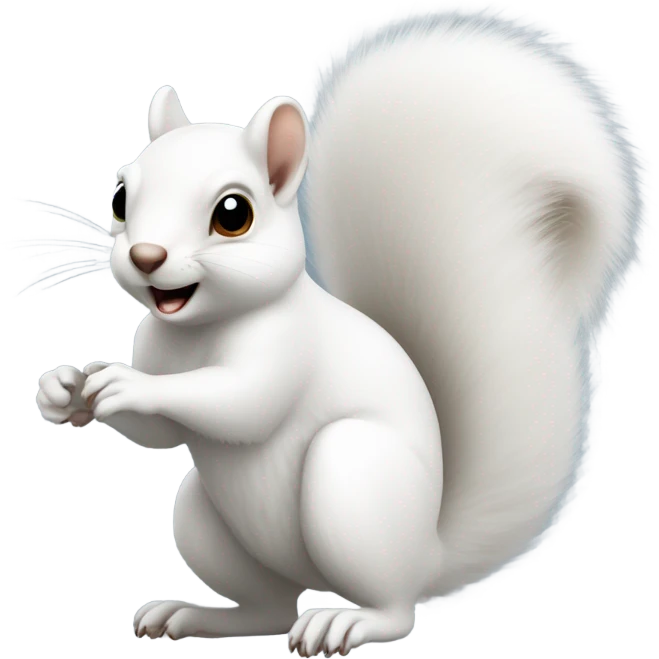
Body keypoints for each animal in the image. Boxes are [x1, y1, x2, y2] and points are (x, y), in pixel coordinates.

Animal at [32, 3, 650, 655]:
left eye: (233, 214)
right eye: (122, 198)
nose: (146, 257)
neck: (200, 327)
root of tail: (427, 551)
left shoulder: (289, 347)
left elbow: (243, 403)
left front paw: (127, 384)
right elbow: (157, 435)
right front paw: (63, 388)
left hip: (352, 482)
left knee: (391, 609)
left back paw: (345, 622)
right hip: (200, 514)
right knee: (268, 609)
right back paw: (196, 615)